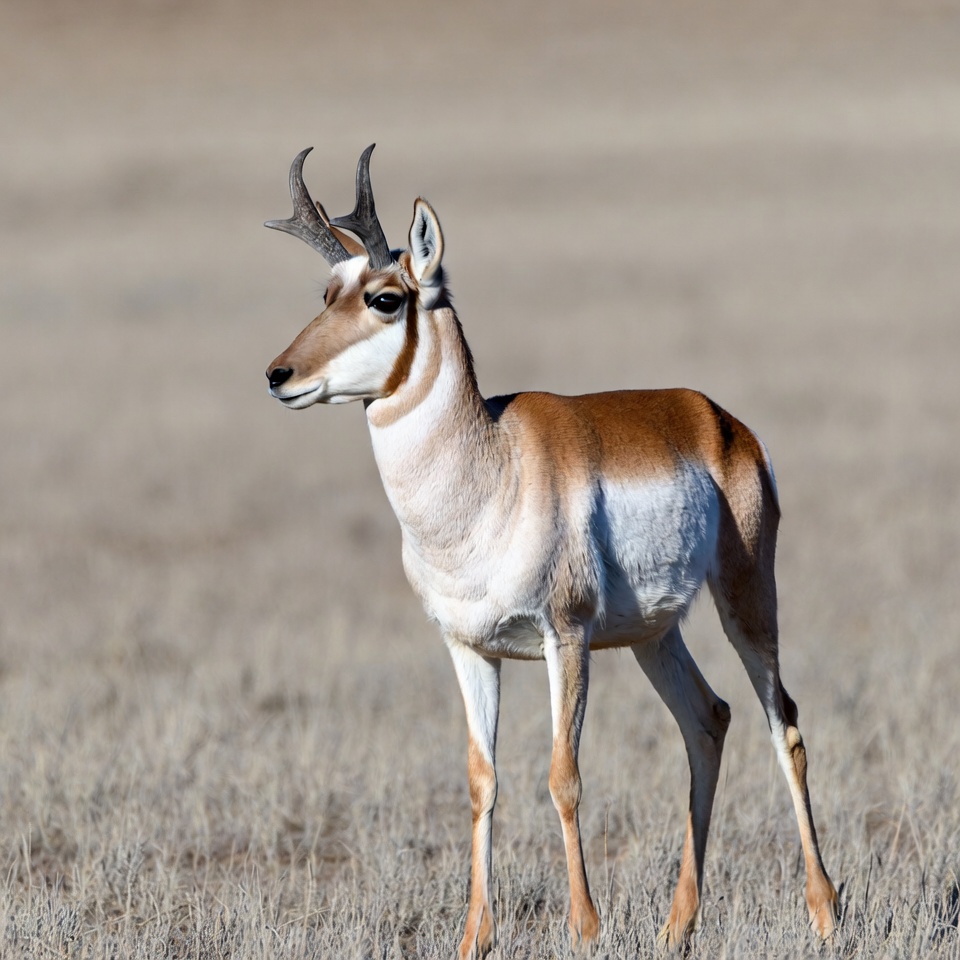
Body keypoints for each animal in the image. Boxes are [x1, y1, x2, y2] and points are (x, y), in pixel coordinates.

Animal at [264, 145, 838, 957]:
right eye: (327, 291)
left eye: (384, 298)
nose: (279, 375)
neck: (491, 464)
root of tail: (716, 419)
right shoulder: (470, 647)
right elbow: (482, 778)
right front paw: (474, 937)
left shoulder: (563, 637)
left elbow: (563, 774)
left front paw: (585, 927)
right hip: (654, 636)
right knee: (709, 719)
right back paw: (676, 926)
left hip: (747, 602)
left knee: (781, 720)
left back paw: (825, 912)